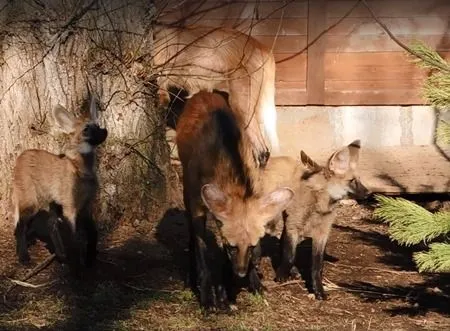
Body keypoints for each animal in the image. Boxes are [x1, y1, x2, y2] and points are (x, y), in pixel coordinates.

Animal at [174, 90, 294, 308]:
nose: (240, 273)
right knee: (191, 236)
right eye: (232, 247)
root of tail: (204, 92)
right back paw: (190, 278)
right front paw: (209, 298)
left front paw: (233, 289)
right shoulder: (198, 204)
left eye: (251, 246)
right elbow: (202, 250)